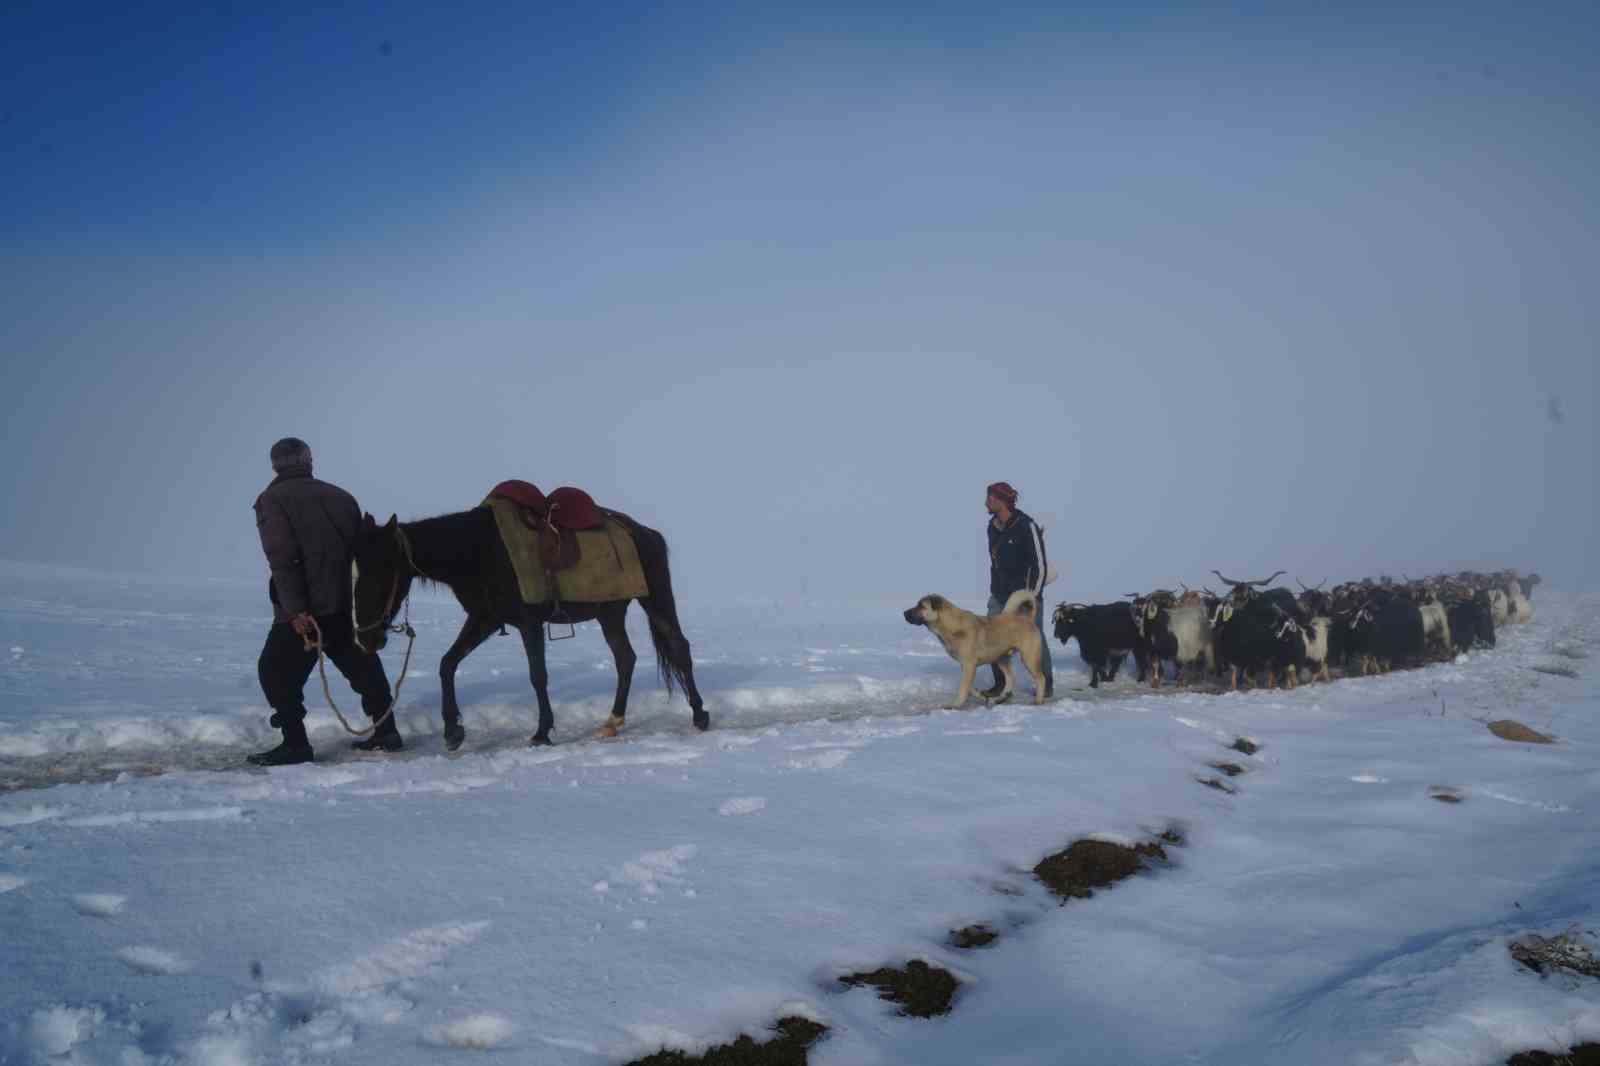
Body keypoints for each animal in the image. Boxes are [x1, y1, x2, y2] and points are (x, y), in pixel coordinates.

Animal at [353, 505, 710, 745]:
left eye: (379, 575)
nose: (366, 640)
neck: (480, 552)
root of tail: (646, 533)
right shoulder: (485, 619)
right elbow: (447, 663)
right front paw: (453, 730)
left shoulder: (529, 622)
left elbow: (538, 676)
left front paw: (541, 732)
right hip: (610, 613)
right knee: (626, 658)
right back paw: (612, 722)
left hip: (656, 600)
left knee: (678, 646)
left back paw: (699, 714)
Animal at [902, 589, 1049, 704]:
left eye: (921, 606)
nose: (904, 613)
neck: (950, 625)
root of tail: (1028, 619)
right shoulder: (966, 665)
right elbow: (969, 687)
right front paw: (980, 695)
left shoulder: (969, 664)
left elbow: (964, 687)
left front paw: (956, 704)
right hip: (1001, 658)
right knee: (1010, 678)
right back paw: (999, 698)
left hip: (1029, 658)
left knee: (1041, 679)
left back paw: (1038, 700)